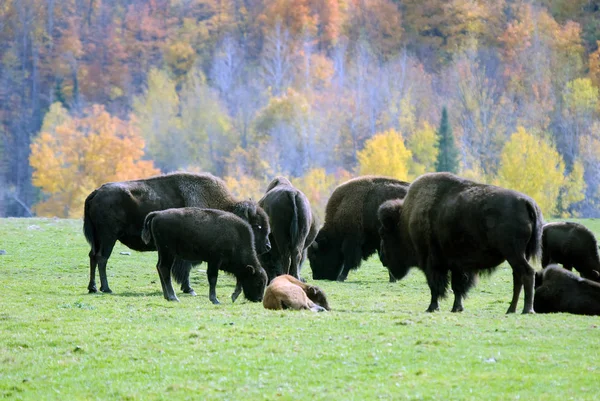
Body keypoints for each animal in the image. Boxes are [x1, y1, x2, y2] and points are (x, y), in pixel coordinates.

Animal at [83, 171, 270, 294]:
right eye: (257, 226)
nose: (267, 247)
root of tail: (96, 192)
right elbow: (185, 269)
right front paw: (189, 289)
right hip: (108, 237)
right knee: (102, 258)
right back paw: (106, 288)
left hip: (98, 238)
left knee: (93, 256)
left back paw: (93, 288)